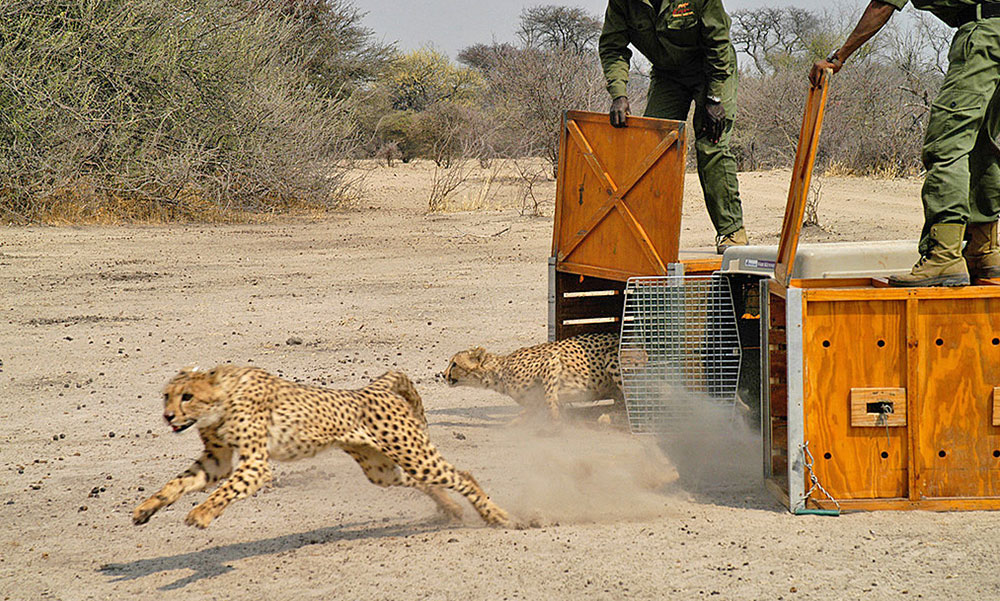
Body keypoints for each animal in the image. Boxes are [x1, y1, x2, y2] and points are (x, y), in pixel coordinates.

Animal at [133, 365, 516, 529]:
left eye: (187, 396)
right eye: (166, 396)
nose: (168, 416)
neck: (221, 397)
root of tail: (372, 388)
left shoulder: (256, 466)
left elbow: (223, 492)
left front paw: (202, 513)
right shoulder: (218, 462)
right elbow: (176, 484)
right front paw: (146, 508)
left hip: (413, 454)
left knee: (462, 475)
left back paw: (496, 515)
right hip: (380, 469)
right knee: (423, 481)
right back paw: (452, 508)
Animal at [444, 331, 624, 422]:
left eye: (454, 364)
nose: (443, 374)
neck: (498, 373)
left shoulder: (551, 361)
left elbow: (550, 396)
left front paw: (556, 422)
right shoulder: (533, 404)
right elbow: (522, 416)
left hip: (612, 358)